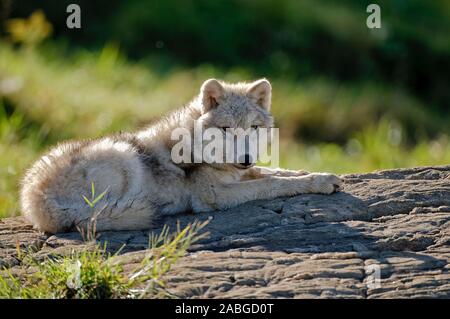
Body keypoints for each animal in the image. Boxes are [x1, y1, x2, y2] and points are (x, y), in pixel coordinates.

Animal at [20, 79, 342, 234]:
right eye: (226, 129)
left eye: (253, 128)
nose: (246, 158)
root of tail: (33, 200)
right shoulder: (212, 196)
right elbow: (272, 184)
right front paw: (318, 181)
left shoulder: (240, 172)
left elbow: (279, 173)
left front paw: (322, 177)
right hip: (124, 153)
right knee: (92, 219)